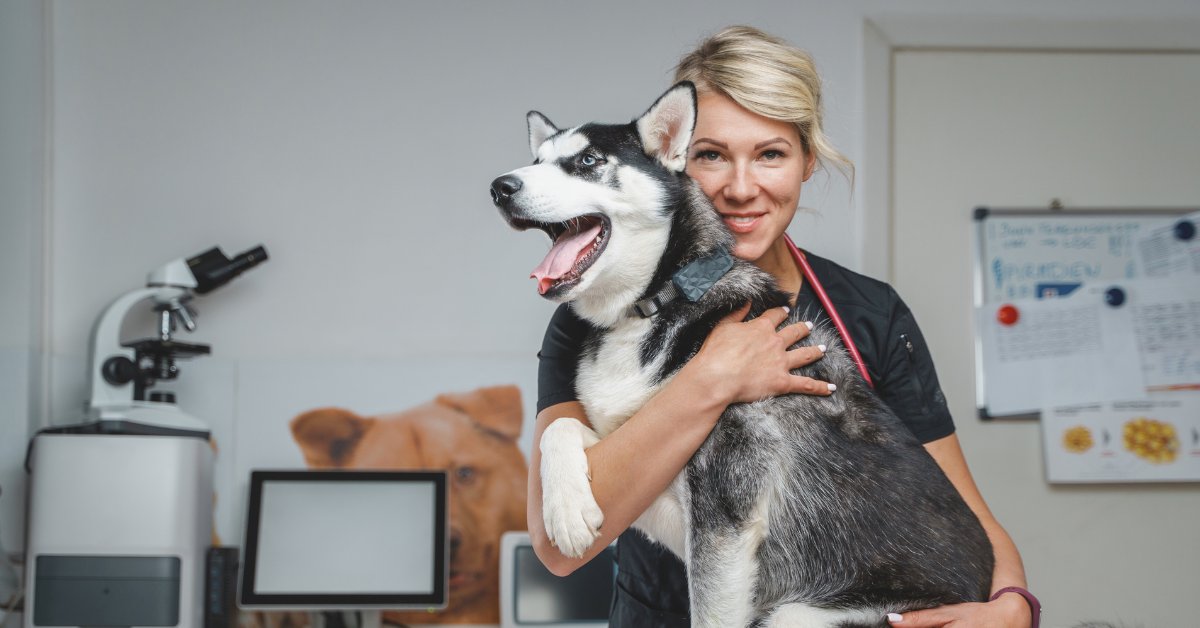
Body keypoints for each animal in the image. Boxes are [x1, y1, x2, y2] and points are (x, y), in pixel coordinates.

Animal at [487, 82, 993, 624]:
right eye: (536, 160)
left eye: (587, 160)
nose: (500, 186)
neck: (653, 303)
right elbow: (558, 427)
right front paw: (566, 510)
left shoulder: (724, 512)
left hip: (797, 612)